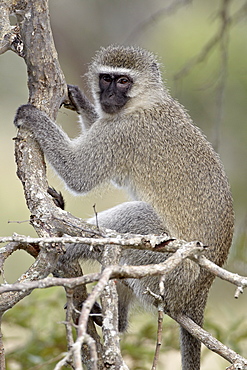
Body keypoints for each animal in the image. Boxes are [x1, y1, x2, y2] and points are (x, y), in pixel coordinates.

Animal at [14, 44, 234, 368]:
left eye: (123, 82)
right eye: (106, 78)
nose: (107, 96)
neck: (143, 101)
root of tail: (197, 294)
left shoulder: (122, 132)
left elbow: (79, 174)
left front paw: (33, 117)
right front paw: (83, 102)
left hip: (168, 272)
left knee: (137, 217)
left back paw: (65, 251)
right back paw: (113, 321)